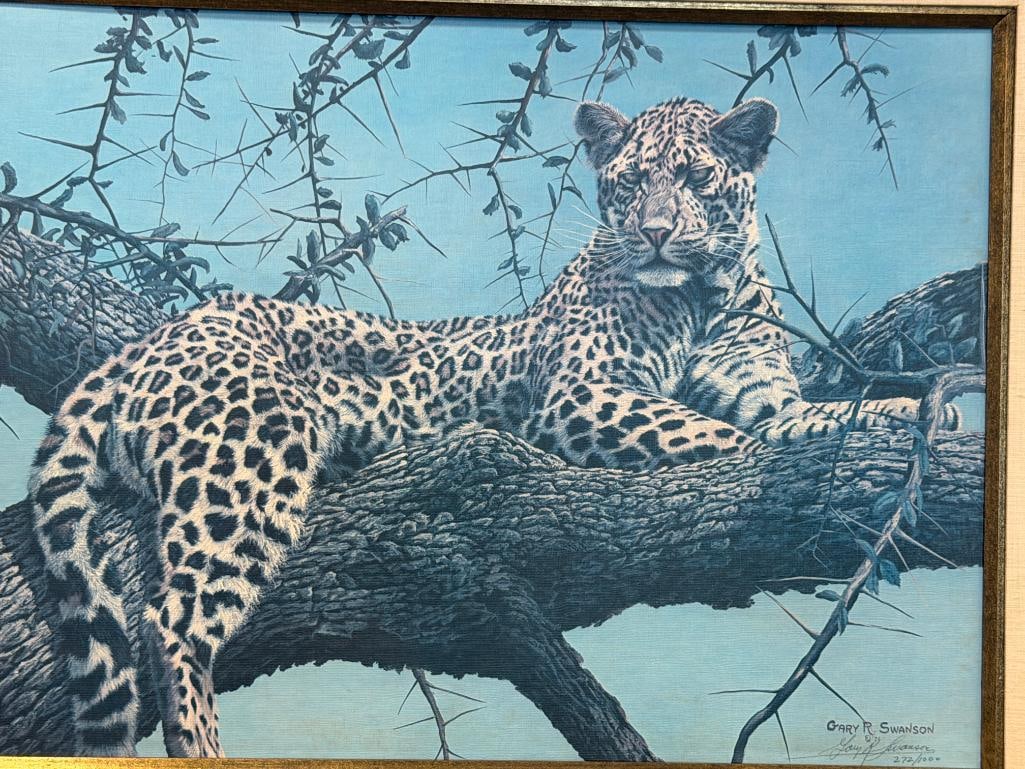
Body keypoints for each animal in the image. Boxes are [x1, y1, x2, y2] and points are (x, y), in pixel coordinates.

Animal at [29, 94, 960, 758]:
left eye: (696, 180)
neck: (702, 294)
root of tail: (153, 338)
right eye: (630, 183)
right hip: (248, 462)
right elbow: (728, 436)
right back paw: (202, 739)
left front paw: (921, 412)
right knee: (172, 619)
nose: (657, 231)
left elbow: (814, 416)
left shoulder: (765, 390)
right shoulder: (582, 395)